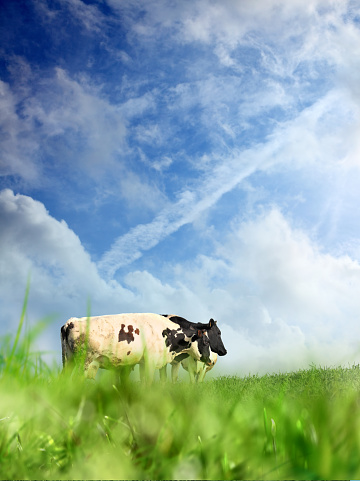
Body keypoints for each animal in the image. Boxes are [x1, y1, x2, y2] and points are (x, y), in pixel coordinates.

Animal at [60, 314, 212, 384]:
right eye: (206, 341)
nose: (210, 360)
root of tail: (72, 321)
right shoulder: (151, 361)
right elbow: (149, 382)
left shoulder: (143, 362)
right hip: (83, 362)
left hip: (69, 361)